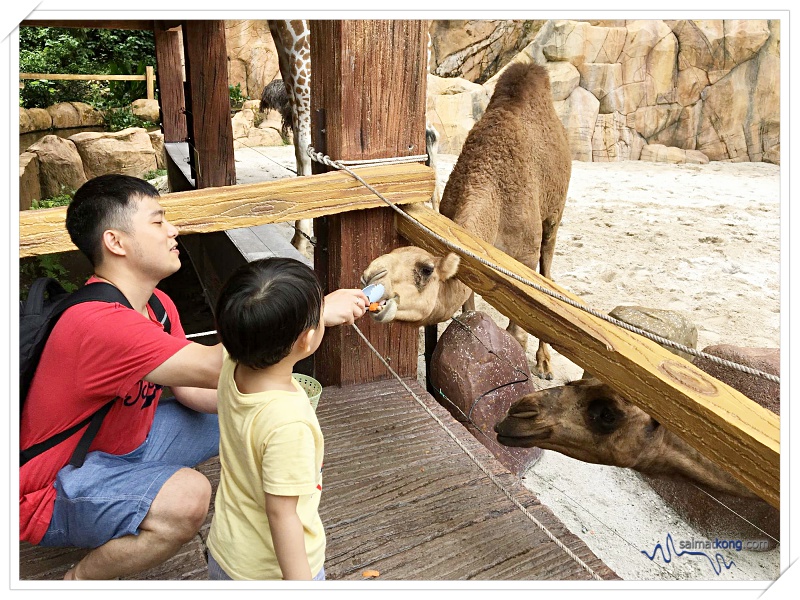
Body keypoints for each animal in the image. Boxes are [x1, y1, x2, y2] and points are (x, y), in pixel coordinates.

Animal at [360, 62, 572, 380]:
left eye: (426, 270)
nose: (371, 275)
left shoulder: (524, 255)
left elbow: (520, 327)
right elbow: (469, 308)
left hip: (553, 215)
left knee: (548, 270)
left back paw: (545, 362)